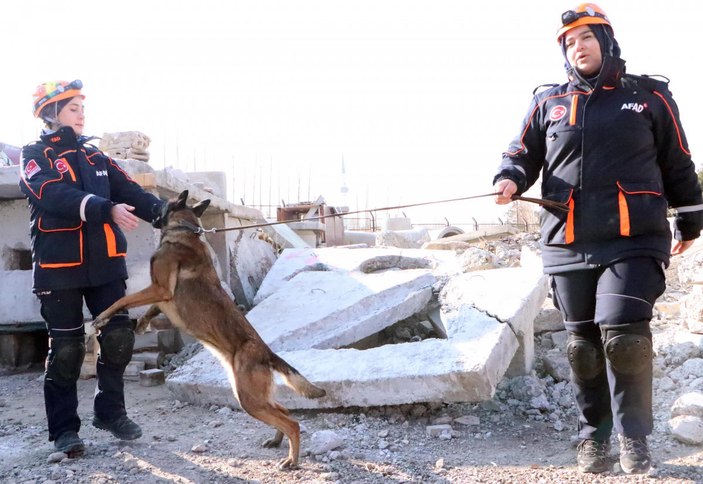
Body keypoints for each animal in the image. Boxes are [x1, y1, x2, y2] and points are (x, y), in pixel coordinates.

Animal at [92, 189, 326, 468]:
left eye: (163, 204)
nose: (148, 207)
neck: (184, 229)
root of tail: (266, 353)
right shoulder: (161, 297)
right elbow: (148, 309)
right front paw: (141, 324)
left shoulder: (159, 289)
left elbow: (122, 300)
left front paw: (101, 318)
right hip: (254, 397)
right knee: (284, 410)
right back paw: (276, 441)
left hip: (249, 399)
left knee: (292, 423)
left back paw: (292, 459)